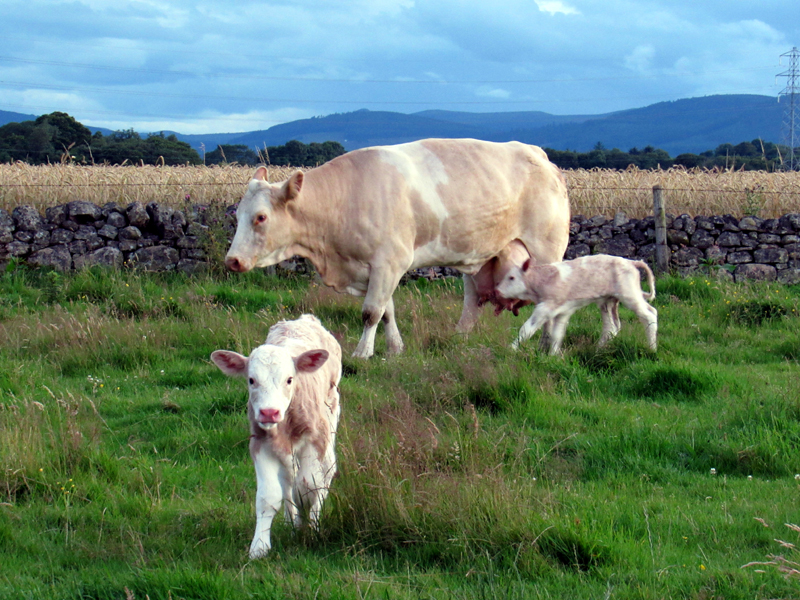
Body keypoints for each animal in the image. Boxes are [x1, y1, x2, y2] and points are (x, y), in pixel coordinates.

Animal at [209, 314, 340, 556]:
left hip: (331, 416)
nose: (269, 412)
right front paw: (260, 546)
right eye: (251, 380)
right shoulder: (261, 444)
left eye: (289, 379)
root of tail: (303, 318)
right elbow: (268, 497)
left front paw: (307, 529)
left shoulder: (315, 439)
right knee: (288, 479)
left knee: (326, 471)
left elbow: (307, 487)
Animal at [225, 138, 572, 358]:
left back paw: (548, 347)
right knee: (472, 303)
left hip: (547, 250)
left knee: (552, 301)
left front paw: (363, 352)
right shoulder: (375, 269)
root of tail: (539, 155)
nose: (233, 260)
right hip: (482, 258)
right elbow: (387, 310)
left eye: (261, 217)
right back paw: (458, 341)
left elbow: (371, 312)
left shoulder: (389, 261)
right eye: (238, 215)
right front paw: (395, 348)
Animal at [496, 254, 660, 356]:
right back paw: (598, 350)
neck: (544, 279)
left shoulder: (545, 308)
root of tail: (631, 261)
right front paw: (552, 356)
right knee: (612, 327)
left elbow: (527, 329)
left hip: (630, 295)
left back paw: (652, 348)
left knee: (650, 314)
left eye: (511, 277)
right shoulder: (563, 311)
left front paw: (511, 349)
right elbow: (557, 334)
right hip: (608, 301)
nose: (497, 291)